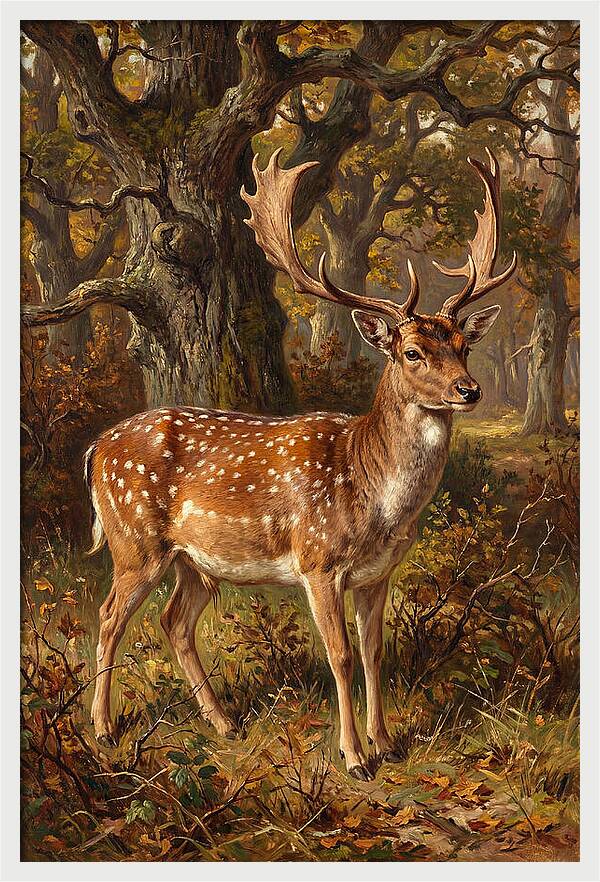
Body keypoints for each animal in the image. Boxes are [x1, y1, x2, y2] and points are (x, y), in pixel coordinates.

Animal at [84, 147, 516, 781]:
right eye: (412, 352)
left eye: (464, 346)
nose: (469, 390)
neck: (374, 494)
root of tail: (96, 448)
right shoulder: (318, 562)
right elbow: (339, 655)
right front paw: (354, 757)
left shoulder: (378, 573)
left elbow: (374, 651)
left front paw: (388, 743)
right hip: (134, 540)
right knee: (110, 615)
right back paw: (103, 728)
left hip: (195, 562)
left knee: (174, 623)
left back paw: (224, 722)